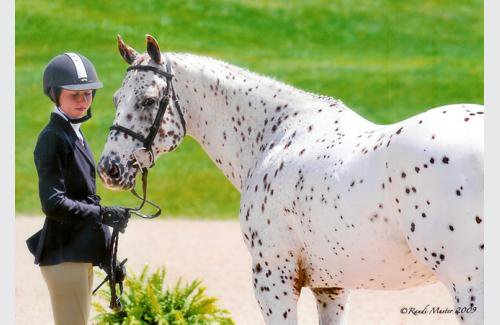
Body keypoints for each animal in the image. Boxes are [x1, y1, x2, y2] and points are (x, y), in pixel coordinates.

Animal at [98, 35, 484, 324]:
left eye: (148, 100)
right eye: (116, 98)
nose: (109, 168)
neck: (276, 135)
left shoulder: (274, 279)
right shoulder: (332, 287)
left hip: (468, 284)